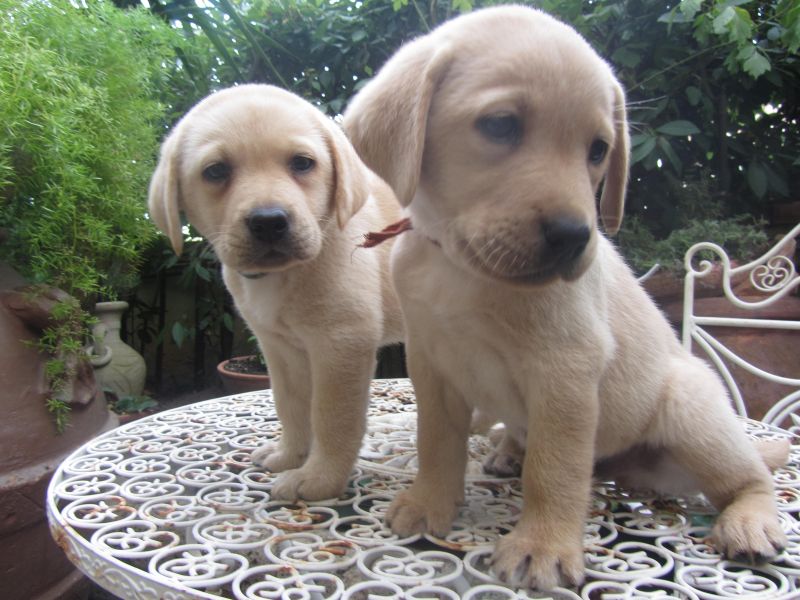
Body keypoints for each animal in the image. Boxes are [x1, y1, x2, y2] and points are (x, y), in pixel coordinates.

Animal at [344, 4, 788, 592]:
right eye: (501, 124)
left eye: (598, 150)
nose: (575, 236)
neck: (461, 270)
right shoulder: (432, 364)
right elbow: (437, 443)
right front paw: (428, 503)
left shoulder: (566, 371)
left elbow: (555, 470)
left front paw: (542, 546)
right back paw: (509, 450)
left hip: (693, 412)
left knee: (750, 477)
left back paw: (750, 520)